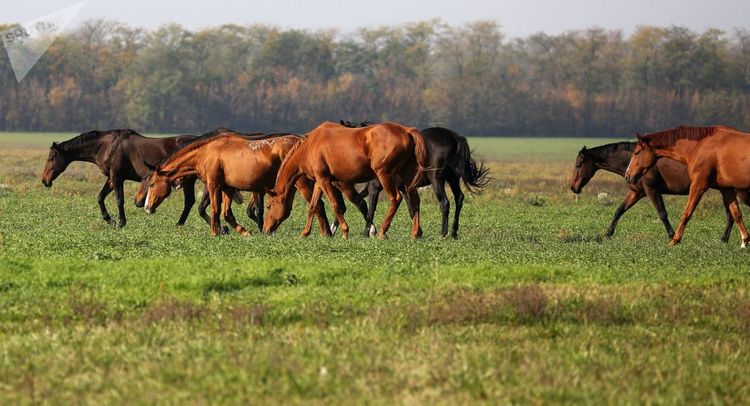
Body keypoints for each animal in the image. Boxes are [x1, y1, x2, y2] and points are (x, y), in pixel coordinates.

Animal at [41, 128, 203, 227]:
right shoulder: (111, 179)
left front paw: (121, 222)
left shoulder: (117, 177)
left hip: (187, 181)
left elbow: (119, 200)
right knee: (189, 202)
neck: (108, 146)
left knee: (189, 202)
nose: (44, 180)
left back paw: (179, 223)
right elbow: (100, 197)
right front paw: (109, 220)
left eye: (51, 157)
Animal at [144, 130, 332, 238]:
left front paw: (216, 232)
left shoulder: (214, 186)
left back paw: (323, 233)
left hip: (301, 183)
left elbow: (215, 210)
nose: (147, 207)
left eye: (152, 184)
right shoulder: (227, 188)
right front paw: (243, 231)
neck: (206, 153)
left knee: (317, 205)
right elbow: (227, 213)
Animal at [262, 122, 428, 239]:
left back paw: (382, 232)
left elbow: (335, 205)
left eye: (268, 206)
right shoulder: (319, 181)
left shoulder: (325, 180)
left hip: (385, 175)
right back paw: (415, 233)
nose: (265, 229)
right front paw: (305, 233)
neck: (310, 145)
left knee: (395, 198)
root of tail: (407, 131)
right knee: (415, 201)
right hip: (406, 177)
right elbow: (313, 206)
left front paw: (344, 232)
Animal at [338, 119, 490, 238]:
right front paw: (418, 232)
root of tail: (454, 137)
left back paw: (443, 233)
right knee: (459, 198)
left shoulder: (375, 186)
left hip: (437, 180)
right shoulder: (403, 188)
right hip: (452, 179)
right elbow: (412, 209)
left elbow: (368, 207)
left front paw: (367, 232)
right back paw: (453, 232)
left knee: (444, 203)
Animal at [572, 141, 748, 241]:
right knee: (731, 215)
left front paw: (672, 235)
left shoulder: (652, 190)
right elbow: (619, 210)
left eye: (578, 165)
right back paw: (724, 239)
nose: (573, 187)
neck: (633, 161)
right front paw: (608, 232)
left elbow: (662, 213)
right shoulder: (637, 192)